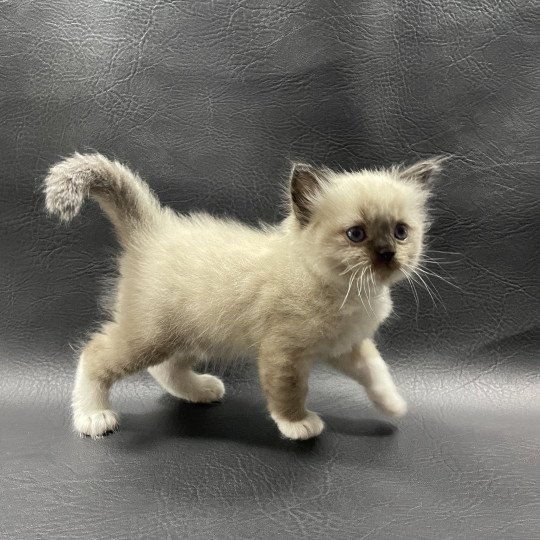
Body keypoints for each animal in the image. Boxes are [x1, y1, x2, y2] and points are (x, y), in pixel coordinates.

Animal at [43, 152, 442, 438]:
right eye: (356, 235)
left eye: (401, 232)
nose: (387, 254)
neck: (349, 292)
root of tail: (155, 230)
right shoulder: (283, 352)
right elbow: (288, 391)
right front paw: (298, 424)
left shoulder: (346, 346)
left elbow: (376, 371)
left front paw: (393, 405)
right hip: (149, 336)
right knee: (95, 354)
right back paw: (93, 416)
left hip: (190, 333)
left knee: (166, 368)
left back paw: (201, 390)